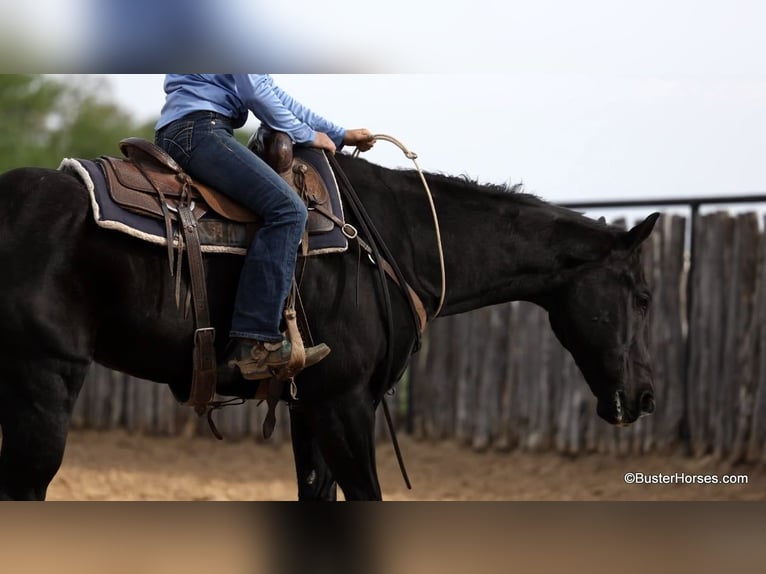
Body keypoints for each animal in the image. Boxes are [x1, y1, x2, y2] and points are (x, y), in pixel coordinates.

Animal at [0, 155, 660, 502]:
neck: (394, 243)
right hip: (44, 385)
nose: (647, 396)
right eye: (645, 296)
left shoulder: (308, 406)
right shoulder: (345, 404)